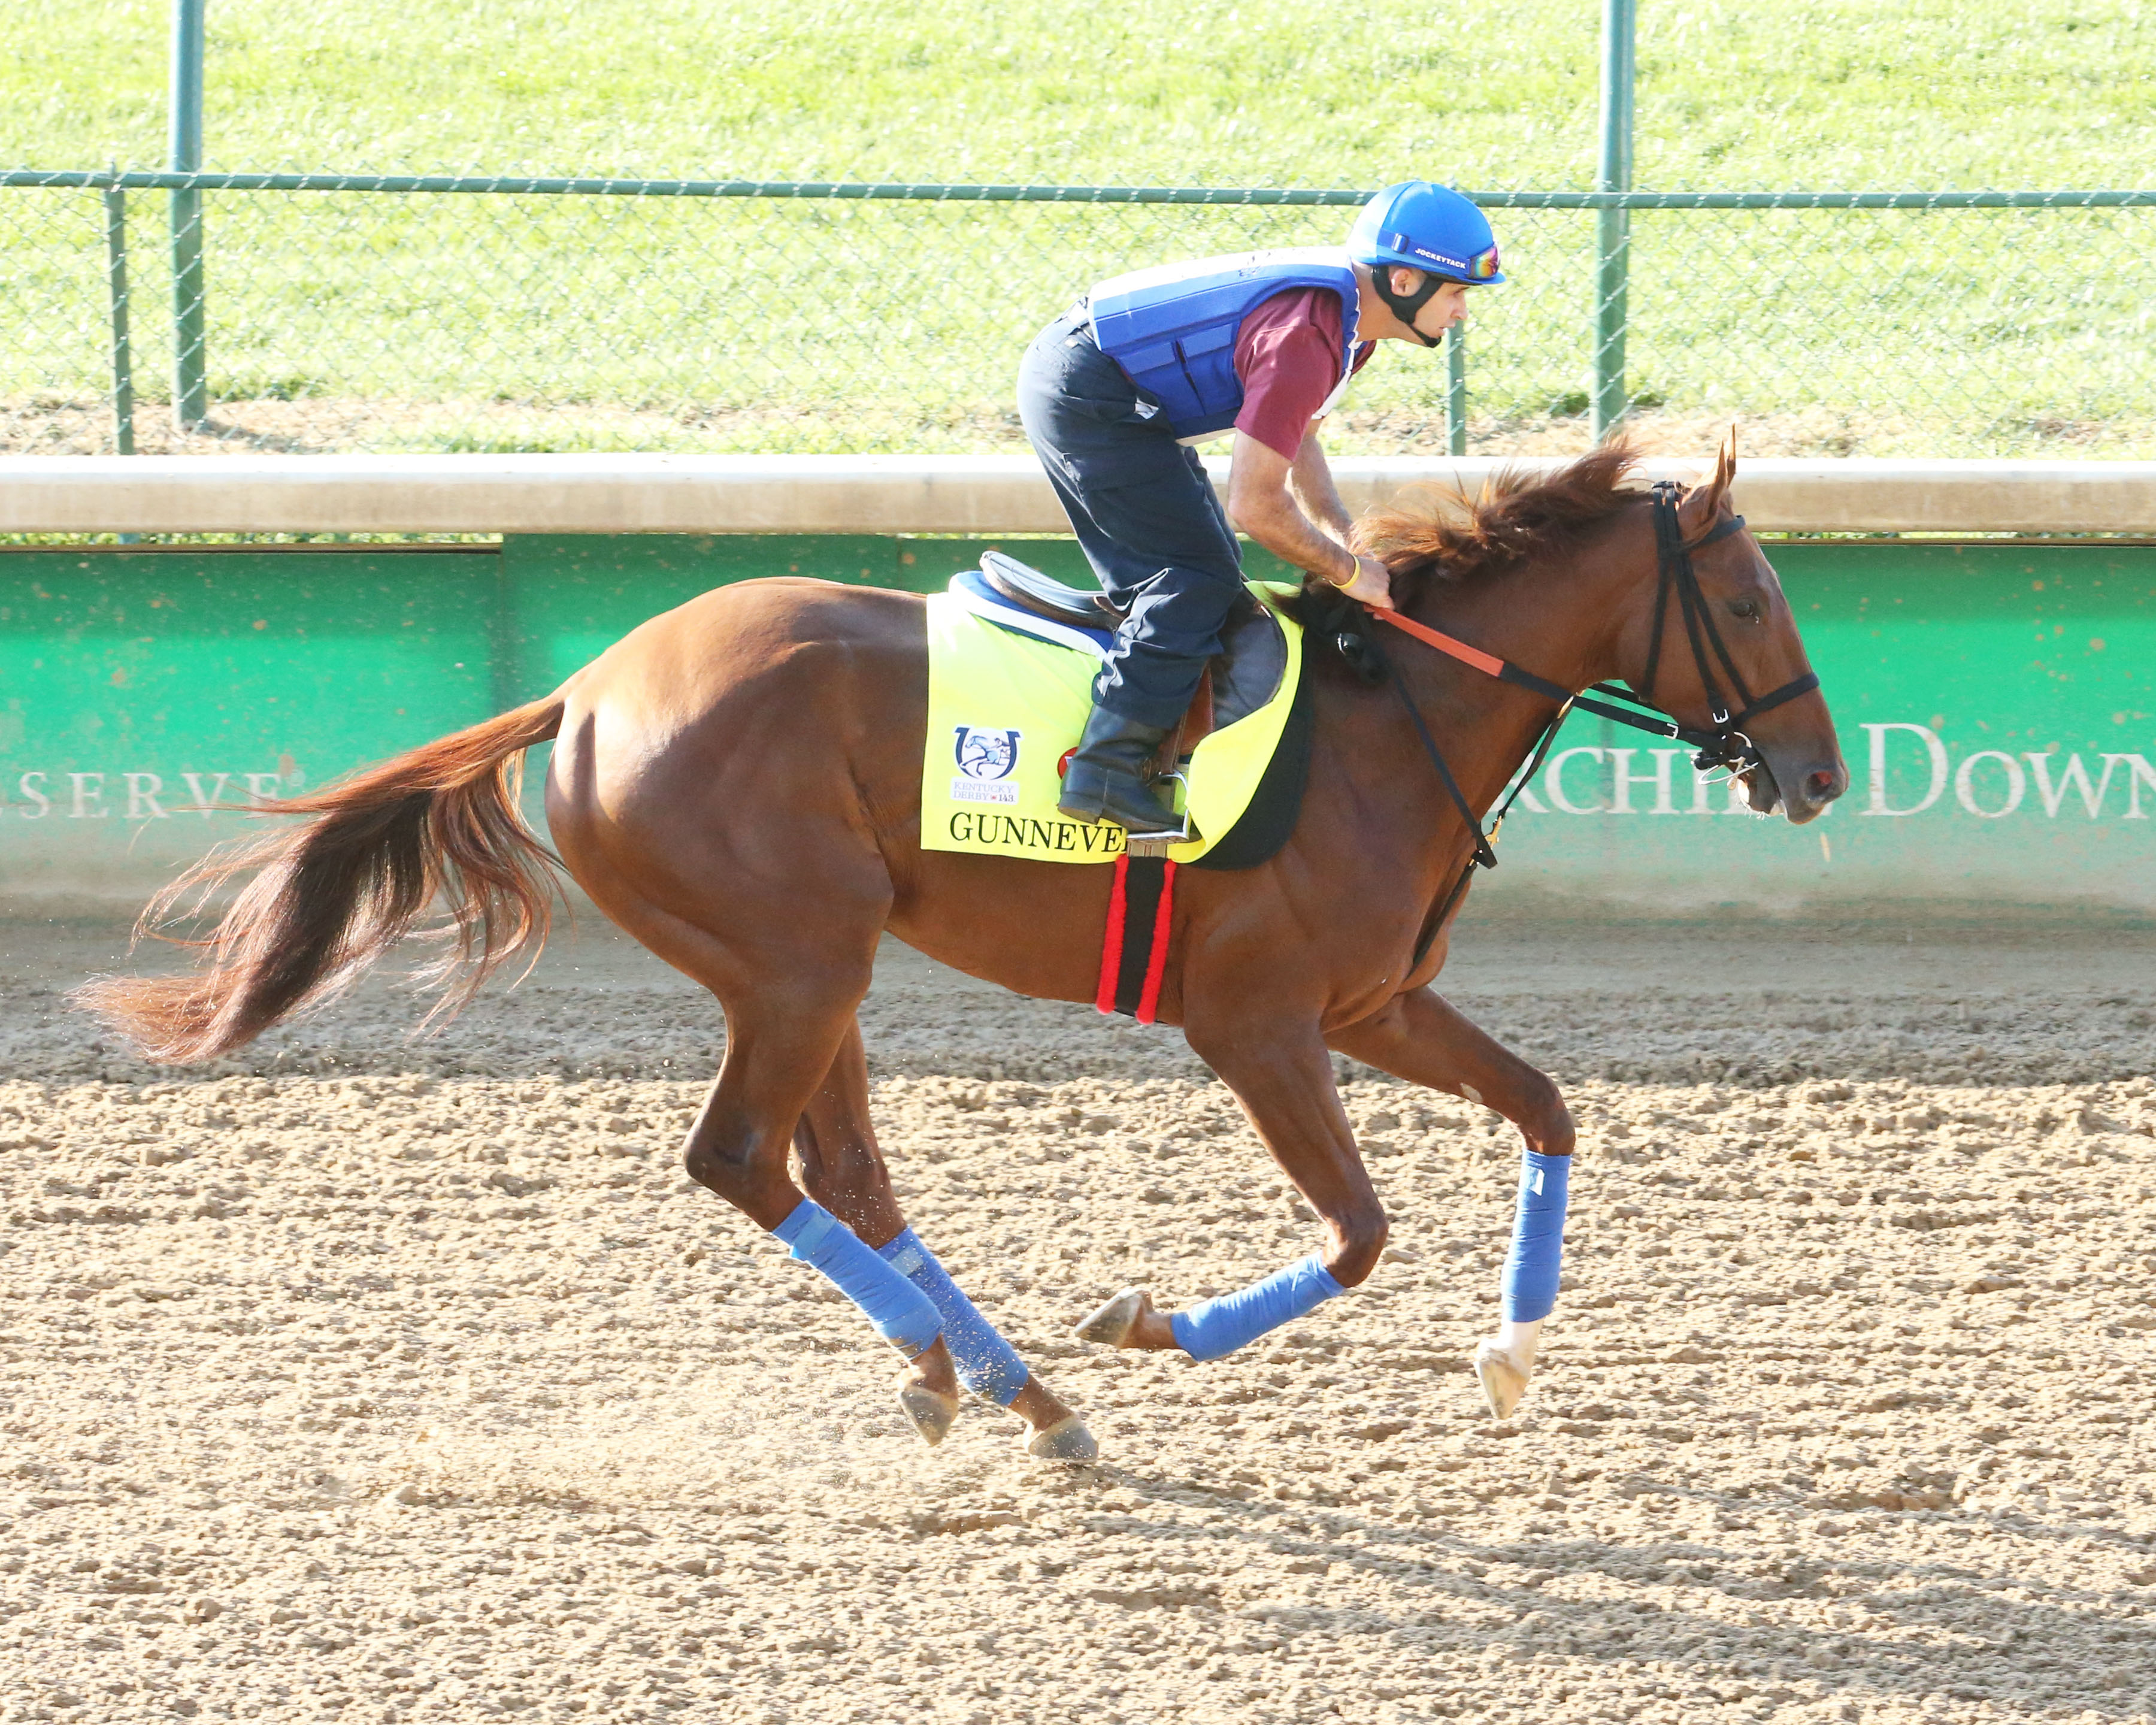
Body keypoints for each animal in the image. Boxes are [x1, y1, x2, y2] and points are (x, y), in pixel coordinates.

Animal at [80, 442, 1837, 1457]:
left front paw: (1514, 1360)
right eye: (1754, 602)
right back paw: (989, 1372)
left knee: (841, 1173)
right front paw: (1153, 1323)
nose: (1817, 774)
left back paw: (998, 1387)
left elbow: (1547, 1107)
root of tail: (585, 689)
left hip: (814, 966)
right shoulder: (1257, 1023)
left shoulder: (1379, 1004)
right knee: (742, 1160)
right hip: (797, 964)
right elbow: (1356, 1231)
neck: (1380, 722)